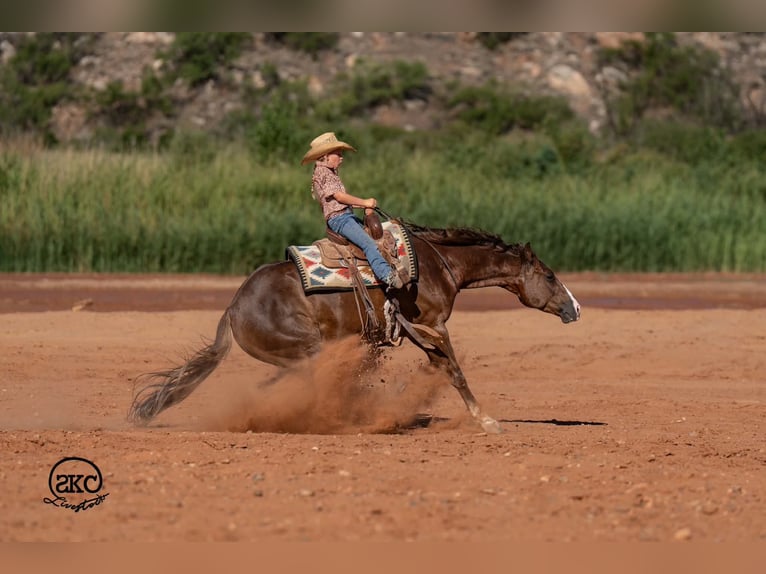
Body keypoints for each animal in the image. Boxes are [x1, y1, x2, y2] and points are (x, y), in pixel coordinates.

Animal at [128, 222, 581, 433]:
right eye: (550, 275)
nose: (574, 308)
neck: (438, 265)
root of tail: (233, 308)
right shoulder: (430, 324)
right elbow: (453, 370)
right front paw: (487, 421)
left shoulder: (415, 331)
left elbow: (443, 367)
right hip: (307, 348)